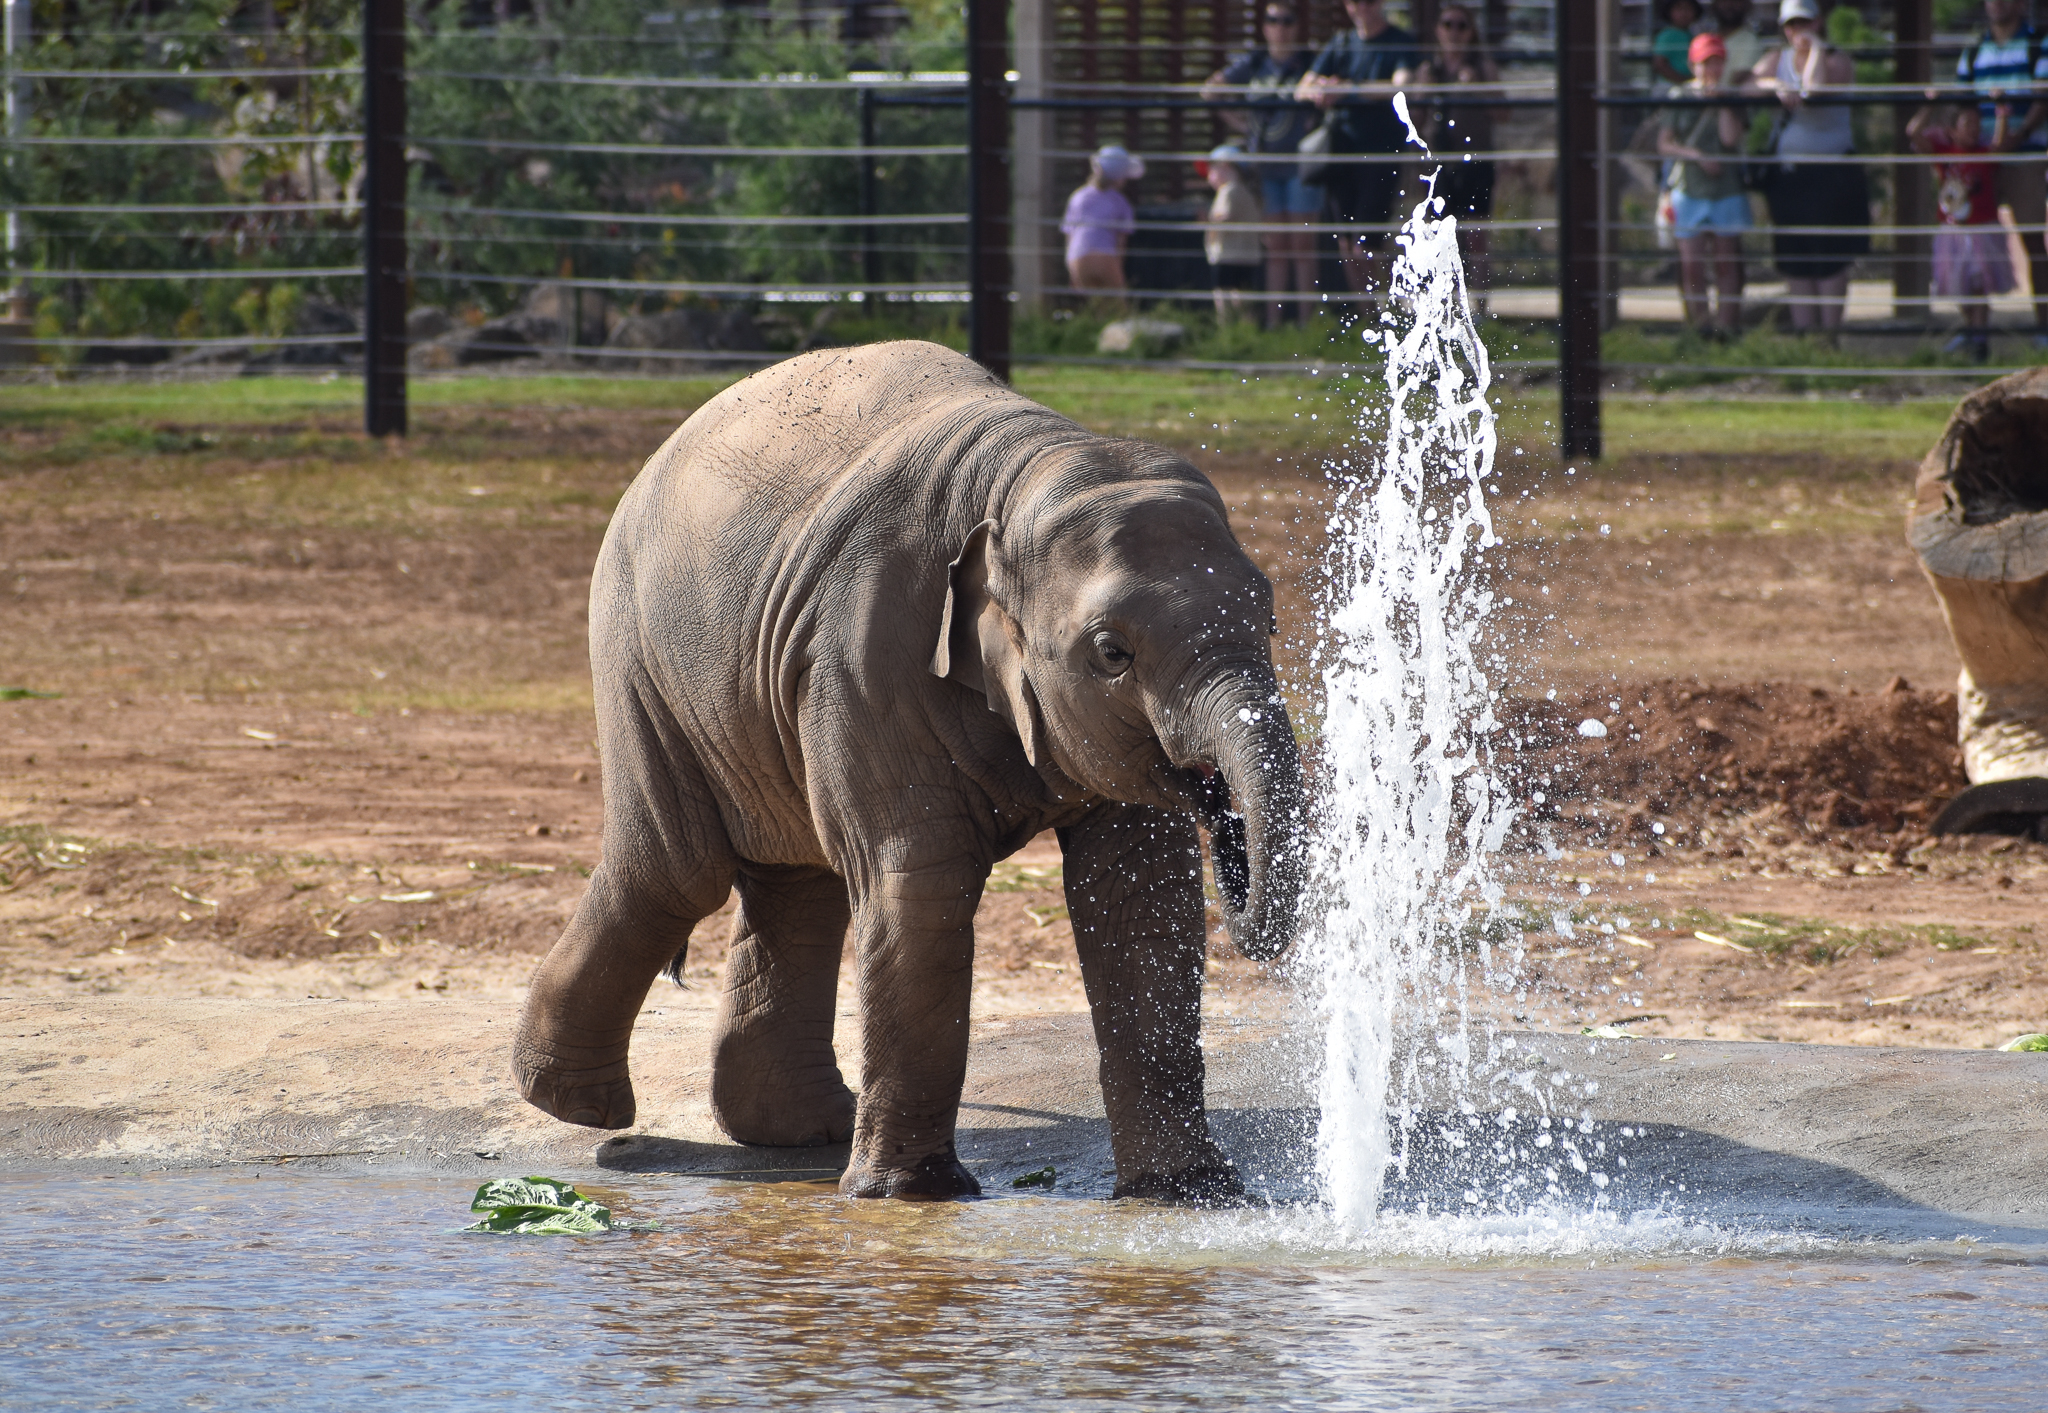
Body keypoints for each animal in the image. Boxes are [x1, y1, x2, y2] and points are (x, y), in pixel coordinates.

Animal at [512, 340, 1307, 1201]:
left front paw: (1185, 1189)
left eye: (1270, 619)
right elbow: (921, 878)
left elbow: (1140, 894)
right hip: (641, 659)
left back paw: (800, 1130)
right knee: (676, 869)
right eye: (1111, 652)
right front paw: (911, 1194)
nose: (1221, 813)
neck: (1022, 471)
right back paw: (577, 1105)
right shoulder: (865, 645)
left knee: (799, 880)